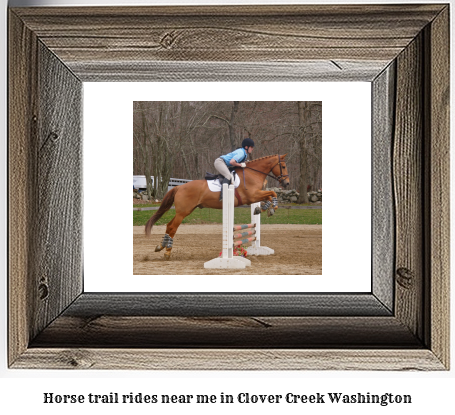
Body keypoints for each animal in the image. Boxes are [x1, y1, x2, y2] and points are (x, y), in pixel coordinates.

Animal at [144, 154, 290, 262]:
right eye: (283, 166)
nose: (287, 183)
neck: (252, 174)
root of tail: (179, 187)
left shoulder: (257, 195)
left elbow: (270, 196)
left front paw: (265, 209)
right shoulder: (252, 196)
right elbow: (273, 193)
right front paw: (270, 208)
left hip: (185, 211)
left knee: (169, 225)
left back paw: (160, 247)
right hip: (183, 212)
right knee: (173, 227)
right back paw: (167, 252)